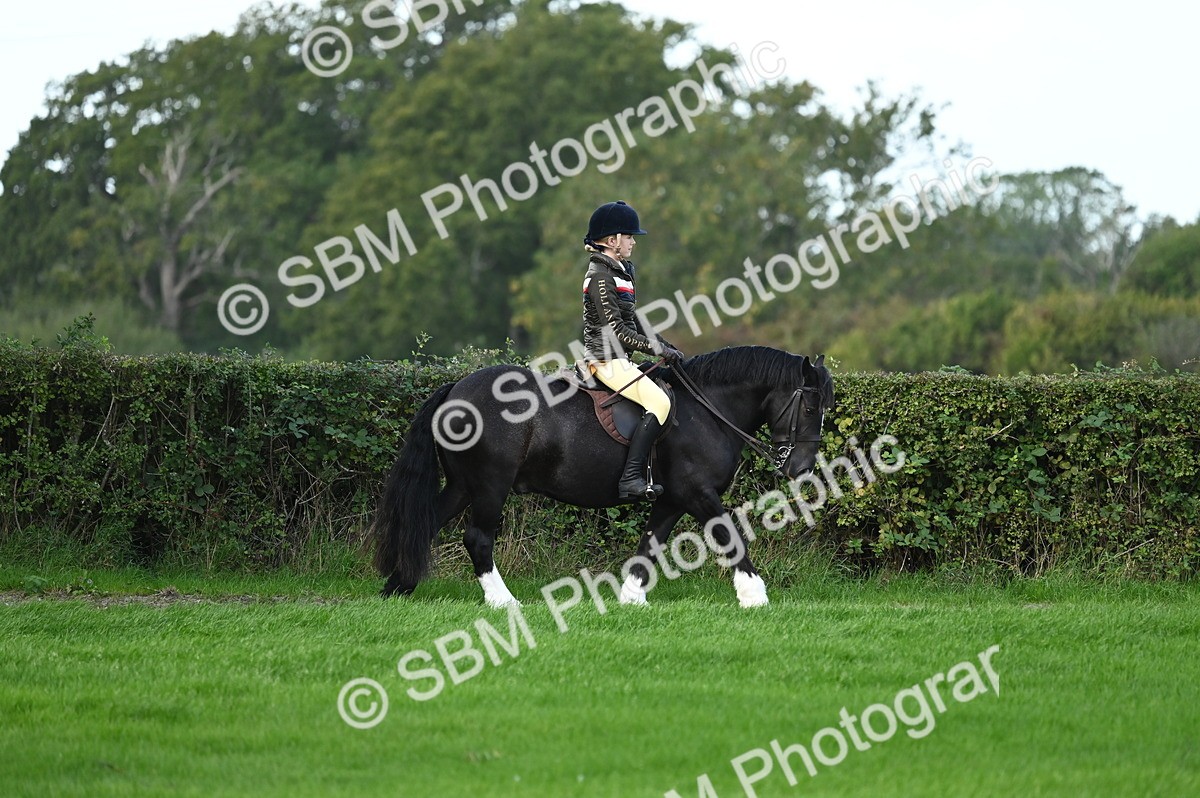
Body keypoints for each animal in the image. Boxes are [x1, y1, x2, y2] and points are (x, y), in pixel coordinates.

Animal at [373, 346, 834, 608]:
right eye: (811, 407)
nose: (802, 469)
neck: (707, 409)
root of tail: (455, 390)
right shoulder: (698, 493)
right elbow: (730, 535)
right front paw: (754, 596)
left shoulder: (671, 498)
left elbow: (649, 544)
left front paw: (632, 597)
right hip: (489, 485)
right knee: (478, 538)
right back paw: (503, 601)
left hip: (463, 486)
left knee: (427, 522)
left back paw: (398, 586)